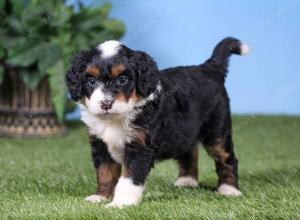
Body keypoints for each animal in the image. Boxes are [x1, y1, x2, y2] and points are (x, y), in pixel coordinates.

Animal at [66, 37, 251, 208]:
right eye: (91, 81)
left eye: (122, 80)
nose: (105, 104)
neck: (117, 118)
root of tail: (209, 67)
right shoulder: (100, 144)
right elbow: (105, 173)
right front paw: (101, 197)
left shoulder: (139, 146)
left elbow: (128, 178)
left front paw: (121, 203)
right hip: (185, 130)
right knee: (190, 151)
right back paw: (187, 181)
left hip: (216, 131)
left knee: (227, 158)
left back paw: (229, 190)